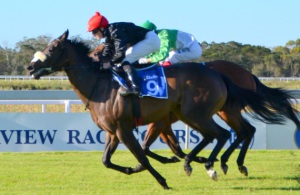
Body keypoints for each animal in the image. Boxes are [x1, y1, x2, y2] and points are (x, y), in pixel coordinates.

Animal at [89, 45, 300, 176]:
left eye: (99, 52)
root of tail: (248, 73)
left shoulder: (159, 122)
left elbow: (148, 147)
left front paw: (194, 160)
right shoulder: (164, 124)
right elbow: (170, 148)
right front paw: (185, 159)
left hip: (225, 111)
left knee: (240, 132)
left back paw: (225, 161)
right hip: (225, 111)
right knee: (245, 131)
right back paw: (229, 162)